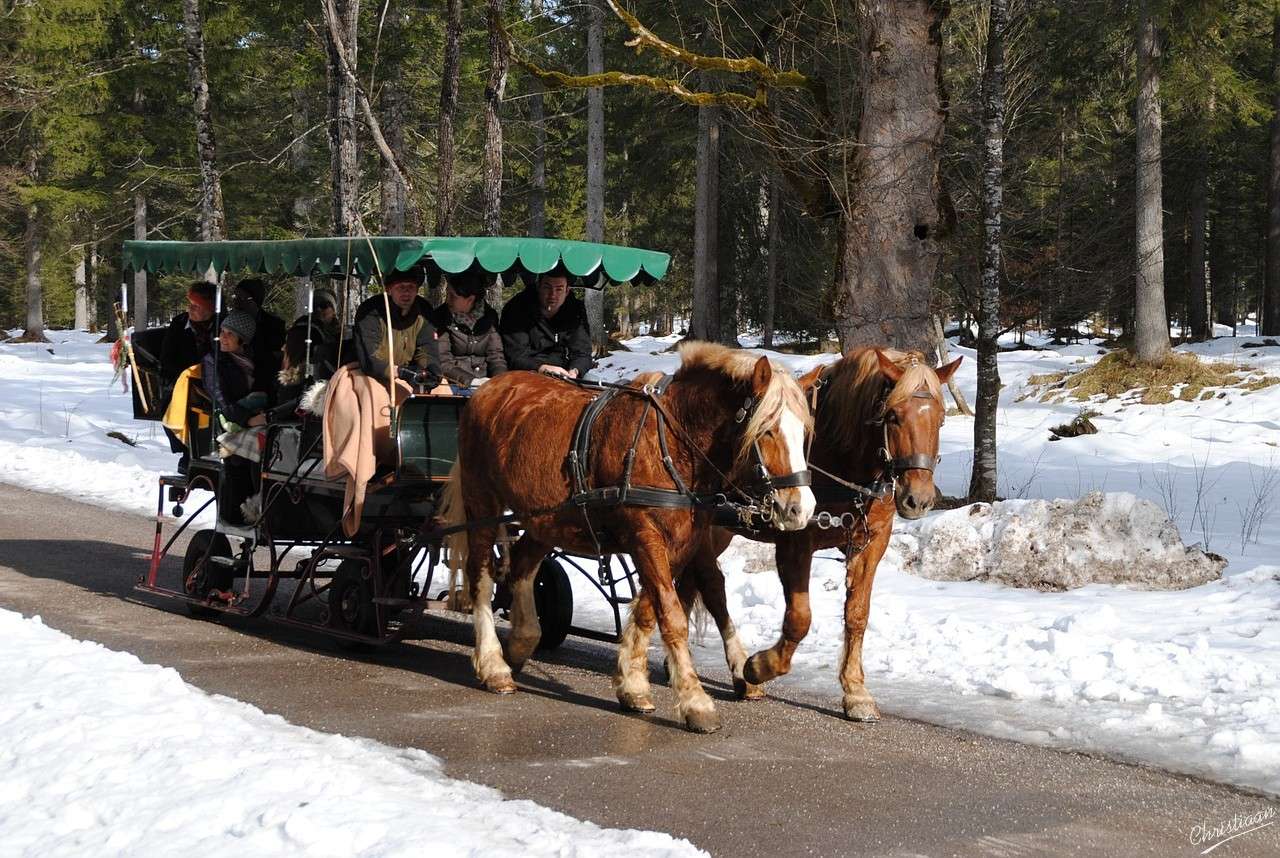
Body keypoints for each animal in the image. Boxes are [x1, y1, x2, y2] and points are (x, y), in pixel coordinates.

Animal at [445, 343, 814, 732]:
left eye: (804, 433)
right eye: (768, 430)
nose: (800, 509)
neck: (671, 445)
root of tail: (488, 387)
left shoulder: (679, 543)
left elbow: (651, 609)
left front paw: (633, 685)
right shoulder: (645, 536)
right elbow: (671, 615)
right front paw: (695, 701)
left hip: (546, 517)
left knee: (522, 565)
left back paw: (521, 641)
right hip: (482, 502)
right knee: (481, 575)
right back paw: (493, 665)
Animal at [616, 348, 962, 717]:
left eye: (940, 418)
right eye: (893, 416)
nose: (919, 499)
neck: (840, 455)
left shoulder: (872, 542)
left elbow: (857, 615)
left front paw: (856, 691)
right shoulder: (795, 540)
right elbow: (799, 618)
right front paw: (760, 666)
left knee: (689, 586)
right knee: (711, 588)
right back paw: (736, 673)